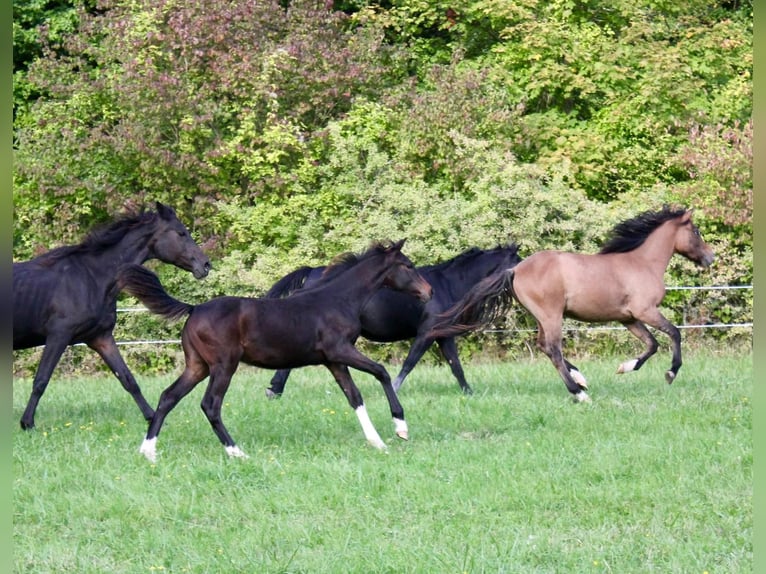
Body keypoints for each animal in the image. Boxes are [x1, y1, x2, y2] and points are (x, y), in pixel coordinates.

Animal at [13, 202, 211, 430]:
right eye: (181, 233)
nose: (206, 265)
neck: (91, 278)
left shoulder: (101, 338)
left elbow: (128, 379)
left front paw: (152, 418)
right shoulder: (58, 336)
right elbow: (41, 380)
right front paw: (27, 423)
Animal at [116, 240, 433, 462]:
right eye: (408, 265)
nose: (428, 292)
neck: (338, 300)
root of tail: (193, 310)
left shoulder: (333, 361)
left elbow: (354, 397)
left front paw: (377, 441)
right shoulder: (341, 351)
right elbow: (381, 372)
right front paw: (400, 427)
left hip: (197, 366)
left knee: (168, 397)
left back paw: (148, 452)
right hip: (223, 366)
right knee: (210, 405)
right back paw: (237, 452)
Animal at [263, 244, 521, 397]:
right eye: (518, 259)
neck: (447, 284)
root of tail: (312, 272)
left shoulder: (443, 336)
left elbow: (456, 367)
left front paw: (469, 393)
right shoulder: (427, 333)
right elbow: (410, 362)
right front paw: (393, 389)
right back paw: (275, 390)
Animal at [428, 207, 715, 402]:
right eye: (696, 231)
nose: (710, 258)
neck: (642, 263)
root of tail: (515, 269)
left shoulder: (629, 318)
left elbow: (652, 344)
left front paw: (625, 367)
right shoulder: (646, 311)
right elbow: (674, 334)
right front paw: (670, 373)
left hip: (542, 318)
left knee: (543, 346)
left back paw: (580, 380)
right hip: (552, 315)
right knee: (553, 349)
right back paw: (579, 392)